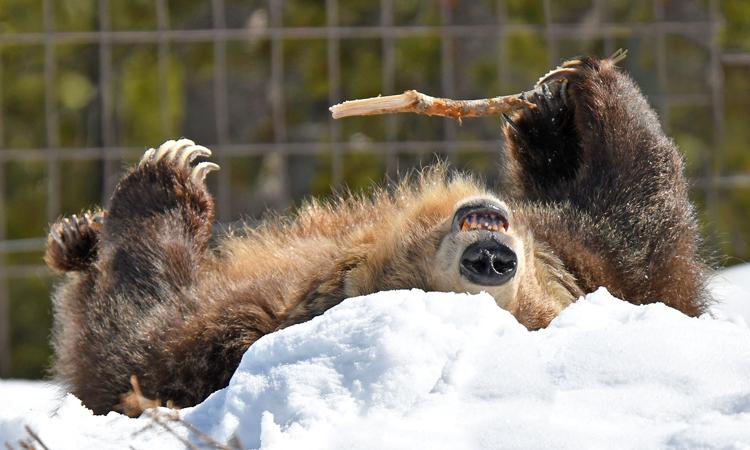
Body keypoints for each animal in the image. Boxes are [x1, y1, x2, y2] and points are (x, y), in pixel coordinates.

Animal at [45, 55, 709, 415]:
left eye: (516, 306)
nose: (491, 260)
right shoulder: (590, 256)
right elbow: (641, 223)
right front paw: (551, 103)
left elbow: (132, 344)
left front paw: (168, 176)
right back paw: (76, 235)